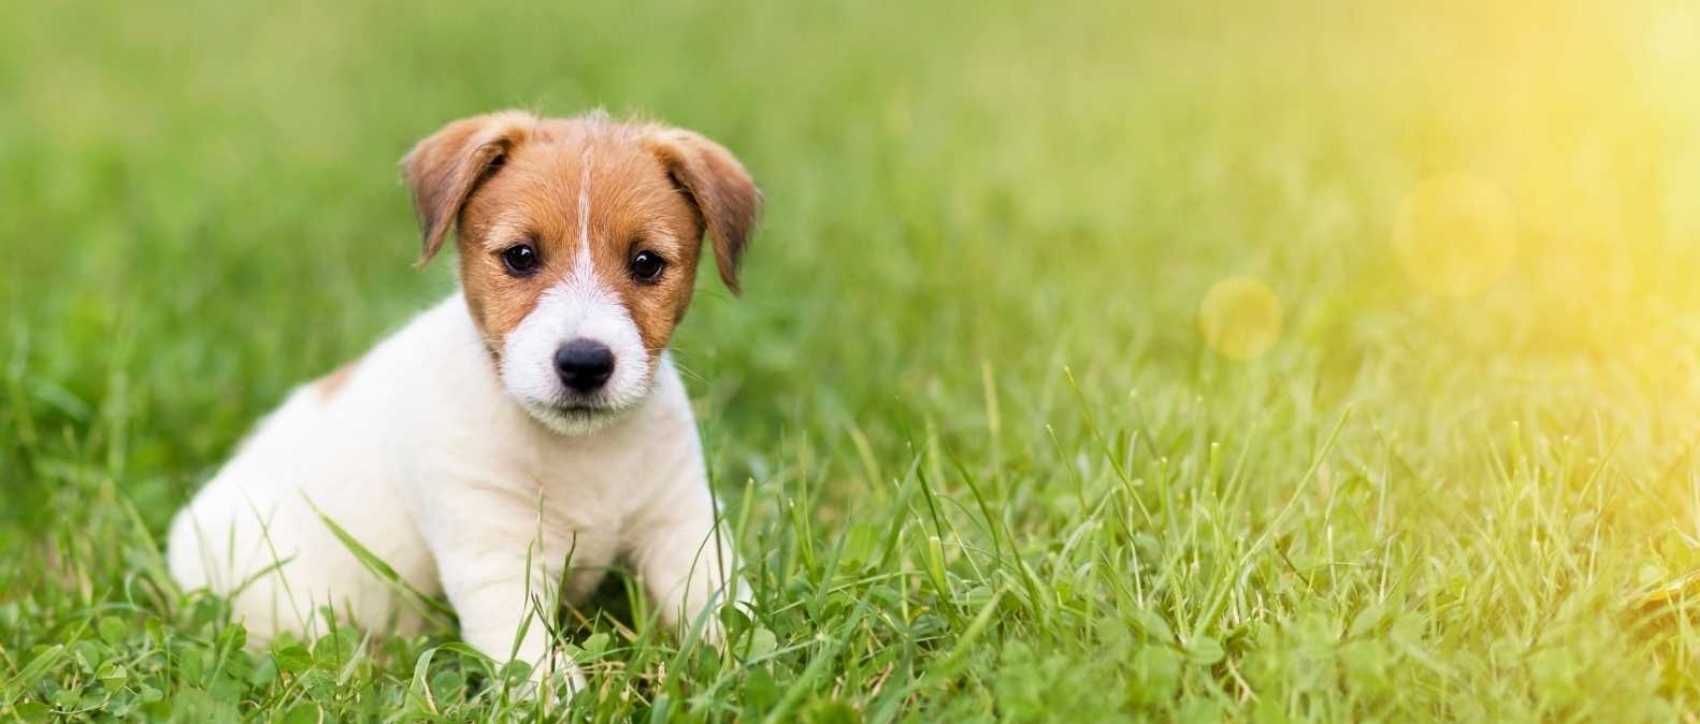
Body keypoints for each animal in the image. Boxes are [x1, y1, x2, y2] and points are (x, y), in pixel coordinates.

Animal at [164, 110, 758, 693]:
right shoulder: (495, 555)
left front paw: (744, 670)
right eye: (521, 256)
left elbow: (726, 610)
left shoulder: (683, 527)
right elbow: (535, 663)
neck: (580, 453)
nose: (585, 362)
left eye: (646, 263)